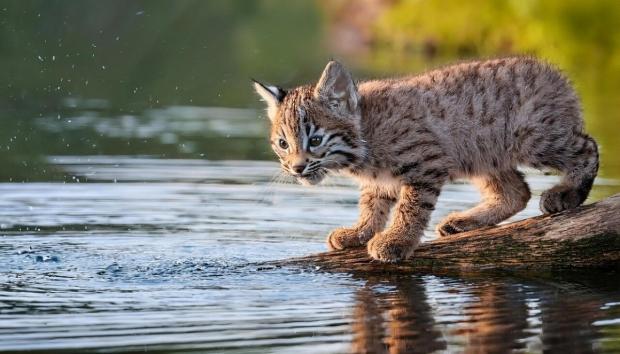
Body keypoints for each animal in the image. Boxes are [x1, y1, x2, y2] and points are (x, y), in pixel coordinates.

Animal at [253, 57, 600, 262]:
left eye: (315, 140)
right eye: (283, 144)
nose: (297, 169)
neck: (364, 138)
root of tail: (554, 72)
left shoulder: (426, 163)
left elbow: (411, 207)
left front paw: (395, 241)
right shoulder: (379, 180)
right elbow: (371, 207)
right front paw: (359, 233)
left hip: (533, 139)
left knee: (588, 146)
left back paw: (567, 195)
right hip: (482, 155)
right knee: (517, 192)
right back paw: (464, 222)